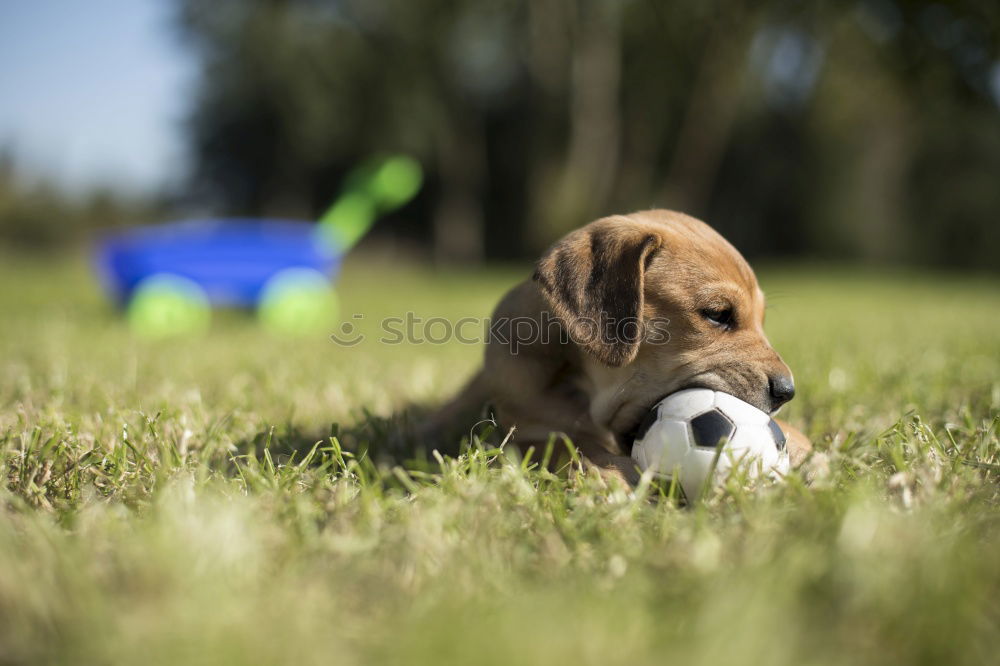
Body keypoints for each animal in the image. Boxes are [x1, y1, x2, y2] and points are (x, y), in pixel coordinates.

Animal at [420, 209, 804, 482]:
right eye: (717, 314)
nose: (787, 392)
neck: (582, 387)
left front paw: (799, 446)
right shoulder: (518, 431)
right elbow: (563, 444)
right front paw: (613, 470)